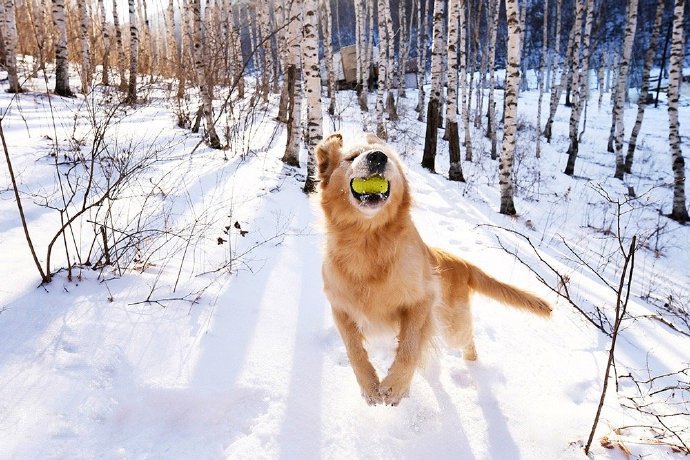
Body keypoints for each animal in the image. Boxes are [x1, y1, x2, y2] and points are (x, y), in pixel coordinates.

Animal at [316, 131, 548, 404]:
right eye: (351, 157)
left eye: (388, 157)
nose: (378, 157)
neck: (368, 242)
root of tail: (462, 263)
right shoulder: (341, 307)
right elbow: (354, 349)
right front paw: (370, 387)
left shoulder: (422, 300)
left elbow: (409, 347)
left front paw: (395, 386)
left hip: (453, 327)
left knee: (468, 340)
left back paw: (473, 366)